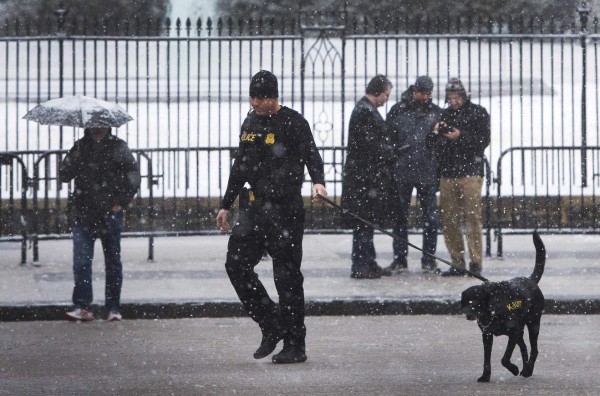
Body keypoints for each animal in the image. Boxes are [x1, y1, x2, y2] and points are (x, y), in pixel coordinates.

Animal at [462, 232, 548, 380]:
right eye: (467, 301)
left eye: (476, 301)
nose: (468, 314)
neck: (492, 310)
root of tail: (530, 280)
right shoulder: (487, 335)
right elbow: (487, 359)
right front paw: (485, 376)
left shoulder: (513, 332)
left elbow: (504, 358)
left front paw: (513, 369)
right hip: (521, 330)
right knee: (524, 347)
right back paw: (525, 368)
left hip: (533, 323)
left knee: (534, 349)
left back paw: (527, 370)